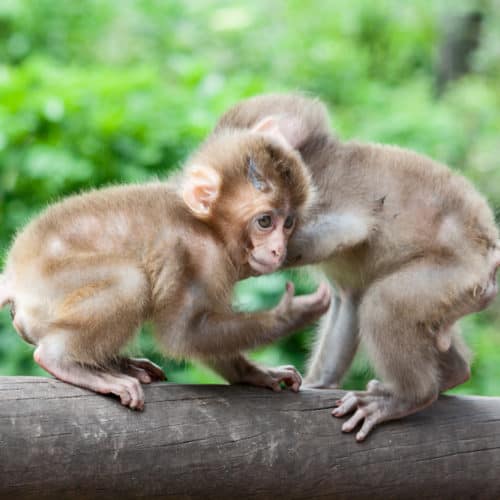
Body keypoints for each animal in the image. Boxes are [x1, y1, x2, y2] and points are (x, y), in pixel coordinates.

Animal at [1, 123, 334, 408]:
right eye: (265, 221)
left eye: (288, 223)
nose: (279, 249)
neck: (209, 229)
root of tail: (14, 276)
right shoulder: (198, 257)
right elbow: (183, 335)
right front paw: (290, 314)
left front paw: (256, 373)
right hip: (47, 286)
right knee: (130, 281)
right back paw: (64, 361)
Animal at [216, 94, 500, 442]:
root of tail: (490, 252)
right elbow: (348, 296)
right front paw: (318, 383)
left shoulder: (315, 195)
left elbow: (349, 231)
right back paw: (453, 372)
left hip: (458, 274)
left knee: (384, 304)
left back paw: (408, 397)